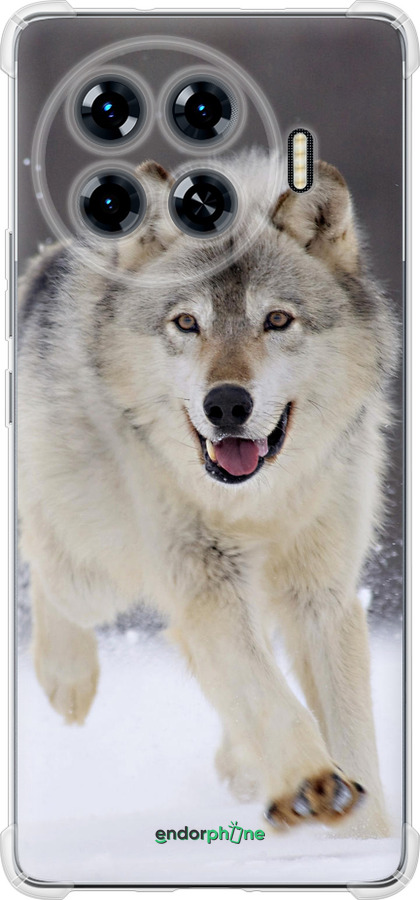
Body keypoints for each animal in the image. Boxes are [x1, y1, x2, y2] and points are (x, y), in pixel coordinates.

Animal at [18, 151, 397, 837]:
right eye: (187, 323)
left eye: (277, 320)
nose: (226, 404)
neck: (257, 503)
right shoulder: (205, 581)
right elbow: (268, 696)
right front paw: (312, 783)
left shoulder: (321, 594)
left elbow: (351, 733)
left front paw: (366, 837)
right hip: (97, 572)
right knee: (45, 563)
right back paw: (68, 679)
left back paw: (243, 767)